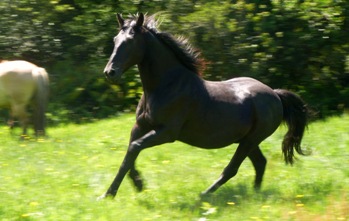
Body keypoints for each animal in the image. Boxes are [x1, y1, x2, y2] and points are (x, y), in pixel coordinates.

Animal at [100, 12, 308, 199]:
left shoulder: (167, 132)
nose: (110, 72)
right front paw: (138, 185)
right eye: (115, 39)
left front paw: (108, 194)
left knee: (232, 169)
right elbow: (129, 153)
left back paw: (204, 194)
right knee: (260, 163)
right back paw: (255, 194)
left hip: (251, 140)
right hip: (247, 140)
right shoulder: (140, 126)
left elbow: (134, 148)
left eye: (130, 41)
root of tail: (275, 94)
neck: (165, 86)